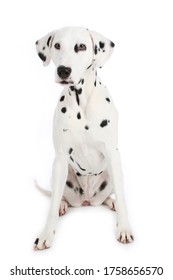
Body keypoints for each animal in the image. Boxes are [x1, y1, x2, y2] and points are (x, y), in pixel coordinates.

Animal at [34, 26, 134, 249]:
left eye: (81, 46)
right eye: (57, 45)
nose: (63, 70)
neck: (82, 103)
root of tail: (87, 201)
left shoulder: (113, 155)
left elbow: (123, 198)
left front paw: (124, 228)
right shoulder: (61, 158)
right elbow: (51, 206)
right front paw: (46, 234)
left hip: (112, 174)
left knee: (110, 196)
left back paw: (111, 202)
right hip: (60, 175)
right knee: (59, 197)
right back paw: (63, 205)